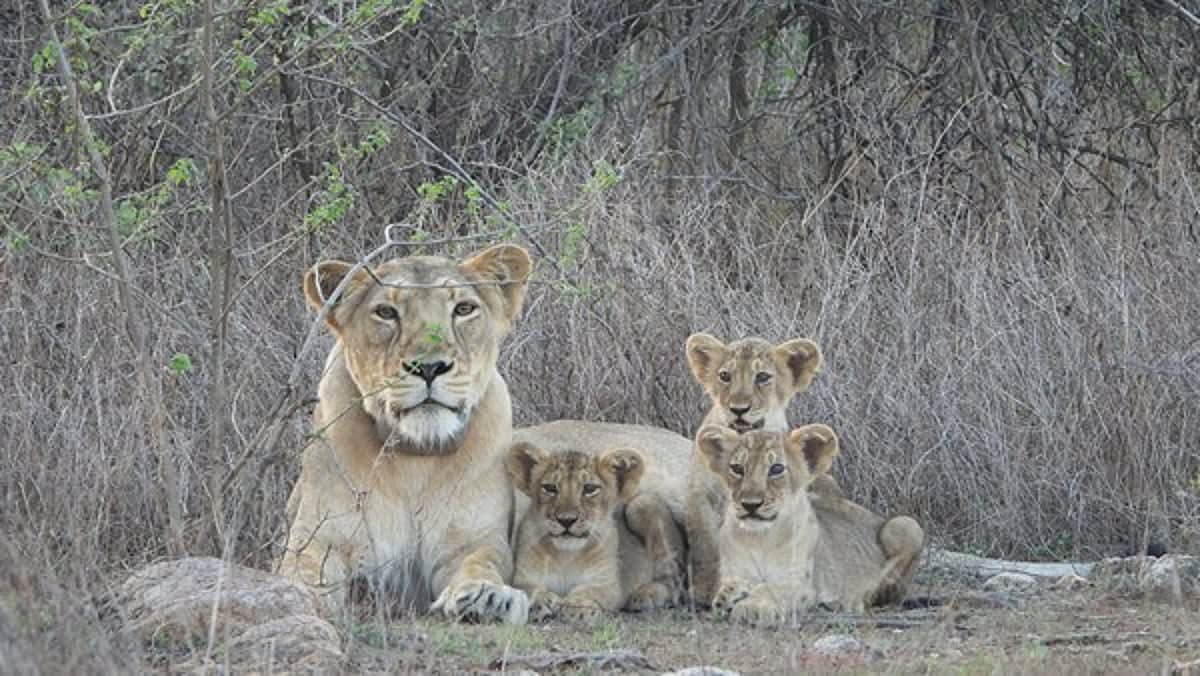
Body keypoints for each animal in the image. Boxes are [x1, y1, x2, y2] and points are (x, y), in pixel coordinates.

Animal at [278, 244, 533, 624]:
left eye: (464, 309)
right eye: (386, 312)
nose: (429, 367)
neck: (416, 458)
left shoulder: (473, 539)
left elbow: (480, 563)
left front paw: (487, 597)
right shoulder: (321, 538)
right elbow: (302, 571)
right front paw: (294, 597)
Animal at [505, 442, 662, 621]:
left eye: (590, 489)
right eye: (550, 488)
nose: (566, 520)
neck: (565, 556)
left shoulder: (607, 583)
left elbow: (592, 591)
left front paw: (577, 607)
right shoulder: (522, 577)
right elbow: (527, 589)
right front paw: (540, 601)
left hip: (641, 505)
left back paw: (647, 595)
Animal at [683, 333, 835, 607]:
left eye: (763, 377)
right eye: (725, 376)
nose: (738, 409)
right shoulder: (699, 495)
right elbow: (706, 544)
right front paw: (708, 590)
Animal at [695, 424, 924, 627]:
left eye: (776, 468)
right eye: (737, 468)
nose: (750, 504)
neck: (759, 539)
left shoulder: (802, 584)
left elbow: (772, 588)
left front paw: (753, 607)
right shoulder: (732, 572)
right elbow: (732, 584)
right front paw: (729, 596)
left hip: (905, 525)